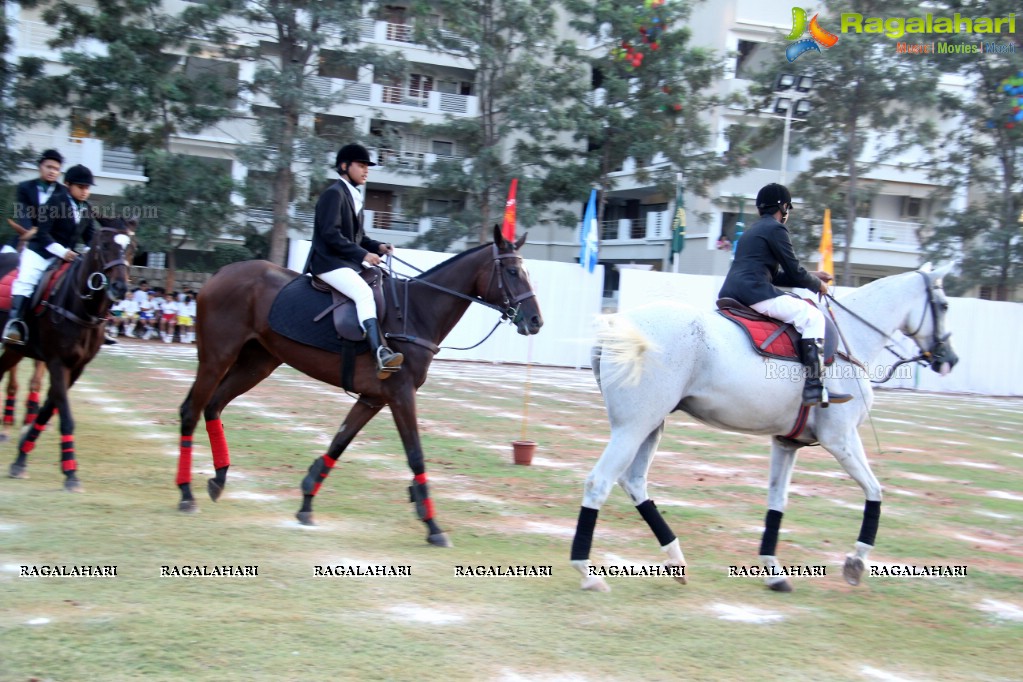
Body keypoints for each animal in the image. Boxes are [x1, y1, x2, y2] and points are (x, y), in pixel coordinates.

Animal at [2, 222, 136, 490]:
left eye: (131, 248)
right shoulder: (57, 362)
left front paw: (21, 458)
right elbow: (65, 415)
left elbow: (48, 408)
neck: (82, 307)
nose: (120, 288)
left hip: (14, 351)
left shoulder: (75, 368)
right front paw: (71, 473)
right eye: (104, 245)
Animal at [175, 226, 544, 548]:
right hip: (217, 357)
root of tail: (217, 276)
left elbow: (339, 442)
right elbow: (415, 455)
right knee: (192, 410)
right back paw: (186, 494)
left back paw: (218, 479)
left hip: (257, 363)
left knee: (214, 405)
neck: (417, 312)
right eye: (513, 271)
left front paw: (306, 502)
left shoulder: (372, 399)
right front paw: (433, 526)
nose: (536, 321)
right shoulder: (400, 394)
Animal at [572, 263, 961, 593]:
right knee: (600, 482)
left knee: (634, 482)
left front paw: (774, 572)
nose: (950, 359)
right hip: (633, 426)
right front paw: (855, 561)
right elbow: (875, 492)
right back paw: (587, 572)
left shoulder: (786, 443)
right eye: (943, 305)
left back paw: (675, 559)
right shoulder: (841, 439)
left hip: (651, 425)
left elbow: (777, 502)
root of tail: (616, 328)